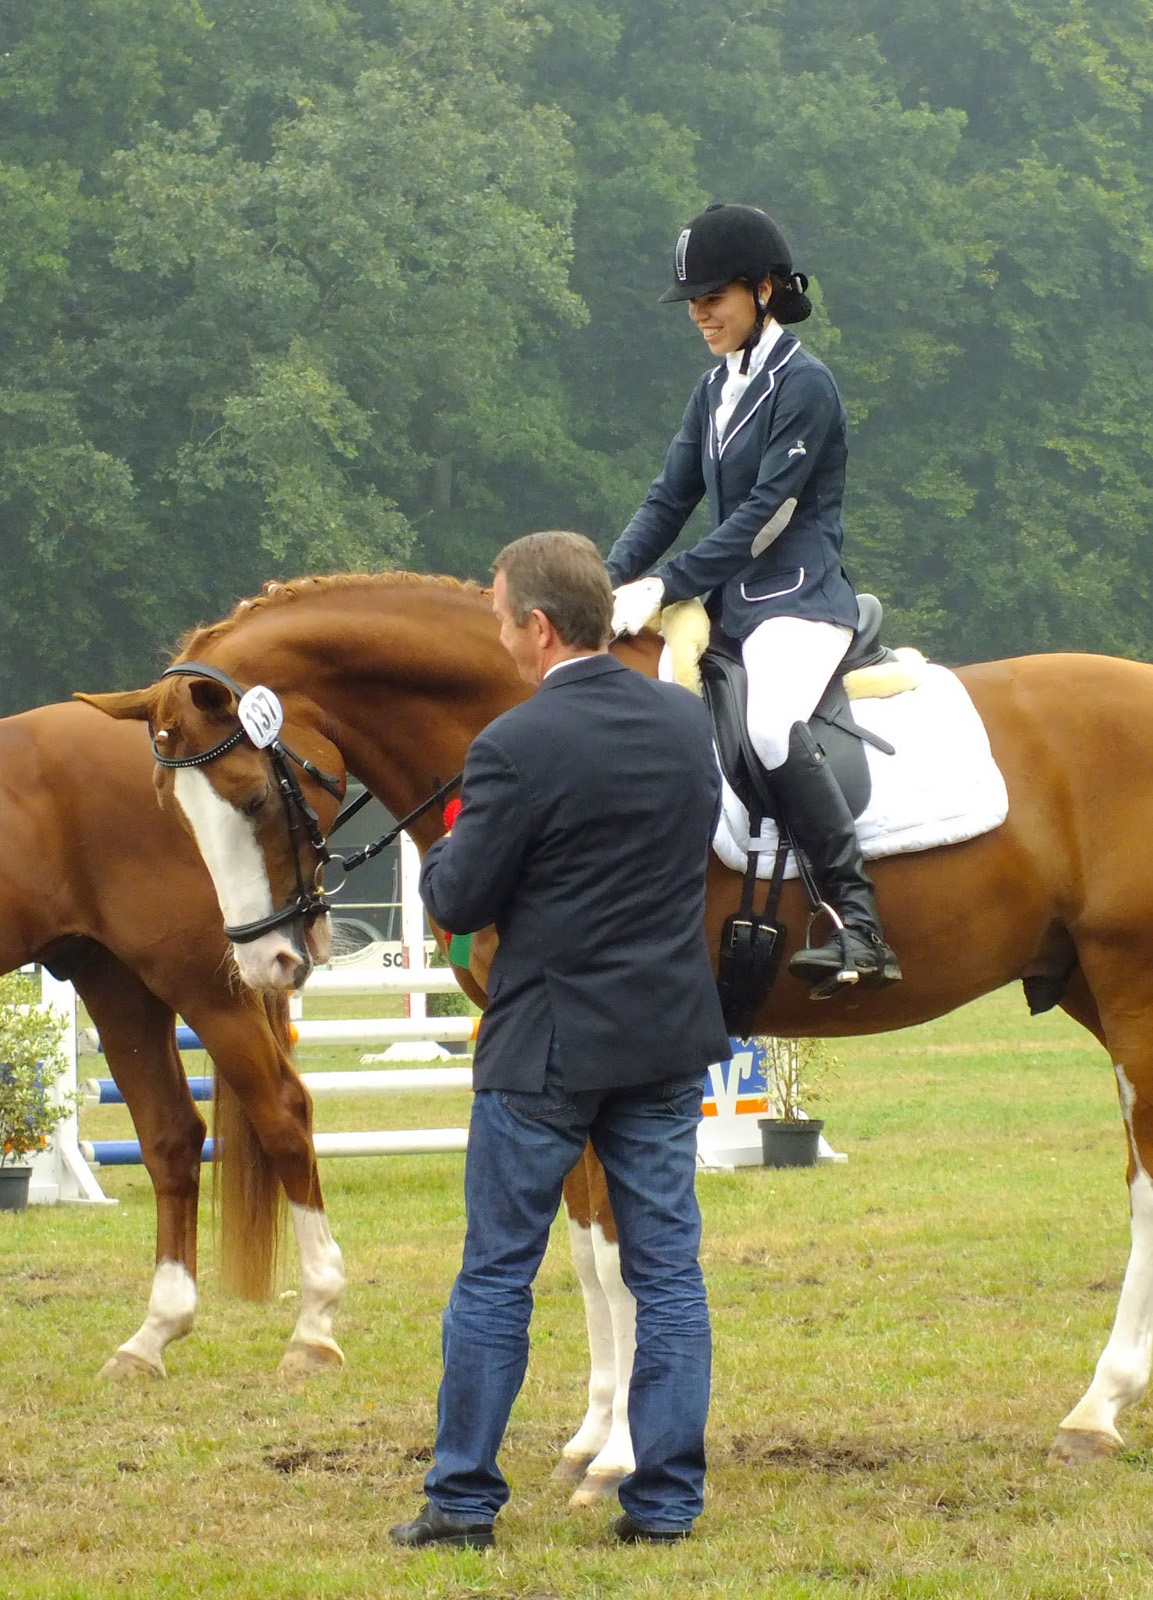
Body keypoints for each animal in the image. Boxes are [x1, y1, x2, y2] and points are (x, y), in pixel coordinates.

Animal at [0, 702, 345, 1378]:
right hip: (114, 977)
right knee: (172, 1135)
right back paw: (153, 1334)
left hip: (202, 983)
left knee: (282, 1110)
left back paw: (314, 1327)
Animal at [79, 569, 1153, 1480]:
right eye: (174, 810)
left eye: (251, 794)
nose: (265, 961)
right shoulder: (546, 1046)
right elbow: (592, 1246)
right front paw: (595, 1436)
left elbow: (620, 1250)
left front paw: (627, 1454)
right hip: (1088, 985)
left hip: (1129, 985)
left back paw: (1096, 1410)